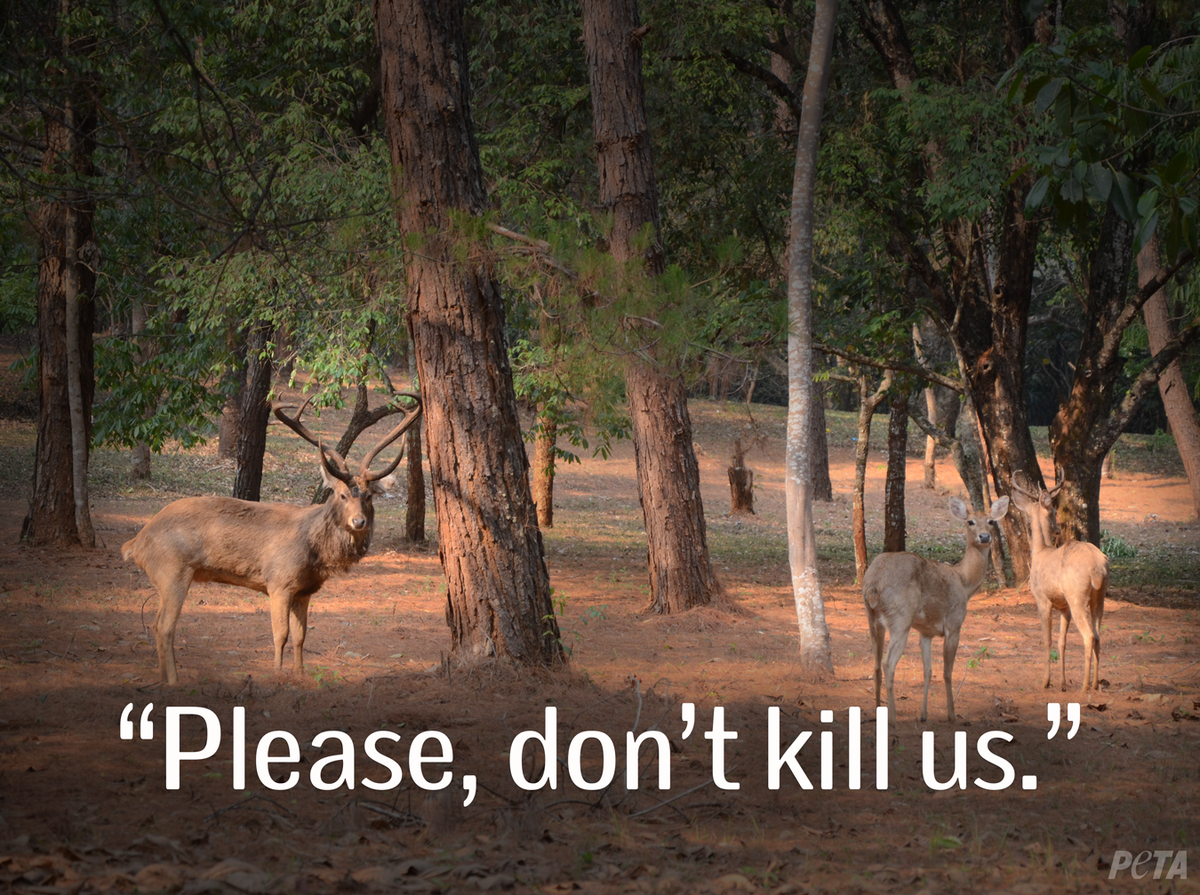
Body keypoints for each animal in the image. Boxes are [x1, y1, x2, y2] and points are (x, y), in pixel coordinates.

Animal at [122, 393, 422, 685]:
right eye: (342, 495)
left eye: (369, 496)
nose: (358, 522)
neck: (314, 552)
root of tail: (136, 543)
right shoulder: (279, 582)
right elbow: (281, 634)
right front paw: (277, 673)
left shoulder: (305, 591)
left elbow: (301, 637)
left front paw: (300, 674)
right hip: (172, 570)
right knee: (164, 626)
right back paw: (174, 681)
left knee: (156, 623)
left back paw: (163, 677)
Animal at [863, 496, 1010, 723]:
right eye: (970, 522)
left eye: (991, 521)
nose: (984, 536)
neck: (964, 582)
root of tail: (873, 584)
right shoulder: (954, 624)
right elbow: (947, 672)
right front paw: (952, 714)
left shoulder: (926, 632)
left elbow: (928, 670)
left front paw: (923, 715)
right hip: (900, 619)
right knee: (888, 663)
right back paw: (893, 718)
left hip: (872, 619)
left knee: (877, 664)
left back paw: (878, 711)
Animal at [1009, 471, 1109, 692]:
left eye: (1055, 510)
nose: (1057, 530)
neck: (1040, 551)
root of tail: (1097, 567)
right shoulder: (1064, 607)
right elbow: (1061, 642)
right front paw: (1062, 683)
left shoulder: (1042, 600)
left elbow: (1047, 640)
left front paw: (1045, 681)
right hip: (1099, 598)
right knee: (1098, 635)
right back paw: (1095, 684)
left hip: (1076, 596)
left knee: (1089, 636)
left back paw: (1084, 686)